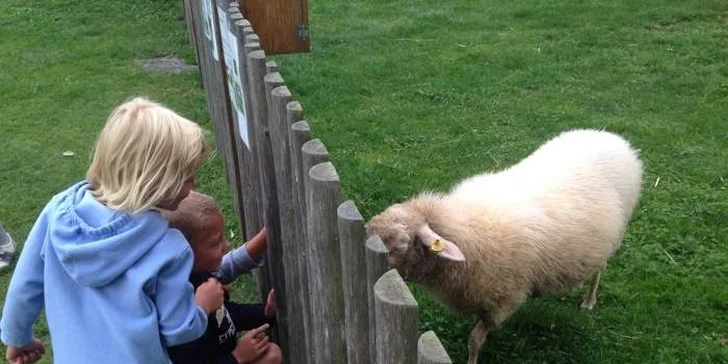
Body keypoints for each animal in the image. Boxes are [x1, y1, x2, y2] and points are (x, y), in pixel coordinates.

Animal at [366, 129, 640, 362]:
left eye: (400, 244)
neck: (464, 228)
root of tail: (612, 137)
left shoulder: (503, 300)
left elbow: (474, 341)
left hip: (613, 234)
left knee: (599, 270)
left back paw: (588, 302)